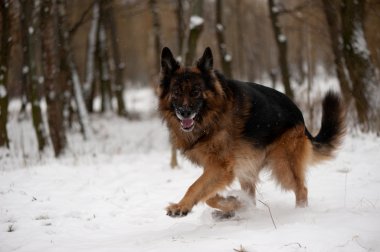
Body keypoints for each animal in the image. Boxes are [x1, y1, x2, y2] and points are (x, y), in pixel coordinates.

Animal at [157, 46, 344, 217]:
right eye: (176, 92)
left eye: (195, 92)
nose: (184, 112)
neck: (212, 117)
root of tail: (301, 117)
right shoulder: (220, 168)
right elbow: (208, 195)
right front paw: (233, 203)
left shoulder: (221, 167)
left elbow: (196, 186)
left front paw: (181, 206)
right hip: (248, 166)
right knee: (254, 197)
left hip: (282, 166)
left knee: (302, 189)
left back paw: (300, 212)